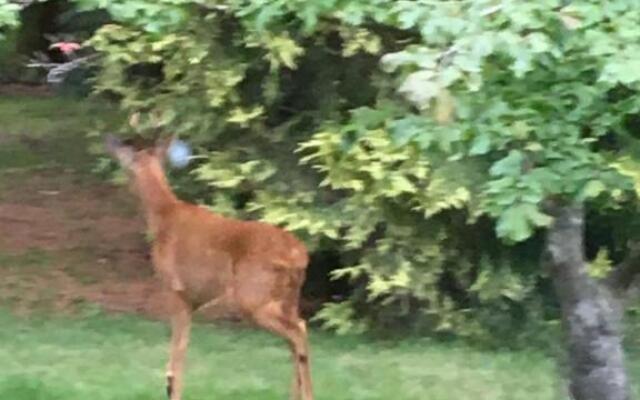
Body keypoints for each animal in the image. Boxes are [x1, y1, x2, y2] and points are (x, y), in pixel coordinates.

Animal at [105, 134, 316, 400]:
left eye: (126, 157)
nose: (111, 141)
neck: (163, 215)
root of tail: (300, 255)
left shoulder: (176, 290)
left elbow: (178, 349)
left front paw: (172, 390)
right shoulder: (192, 299)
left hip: (253, 297)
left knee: (298, 334)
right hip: (287, 298)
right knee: (298, 332)